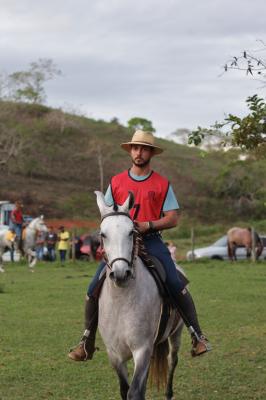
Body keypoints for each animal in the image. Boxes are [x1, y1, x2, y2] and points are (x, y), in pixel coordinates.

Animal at [95, 190, 185, 400]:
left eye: (132, 232)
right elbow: (125, 389)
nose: (120, 273)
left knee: (172, 360)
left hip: (176, 333)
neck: (121, 302)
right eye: (103, 234)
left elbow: (134, 392)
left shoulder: (142, 350)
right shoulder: (115, 354)